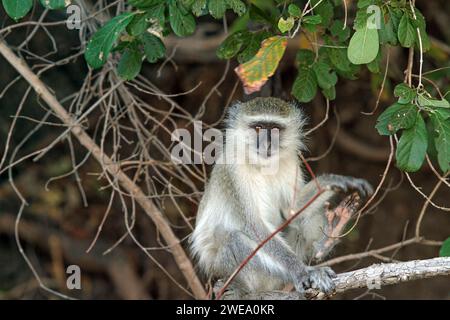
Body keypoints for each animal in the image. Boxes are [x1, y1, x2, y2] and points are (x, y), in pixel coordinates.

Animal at [190, 97, 372, 298]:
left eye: (275, 128)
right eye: (258, 128)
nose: (267, 145)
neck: (262, 165)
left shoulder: (291, 162)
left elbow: (292, 210)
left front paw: (332, 181)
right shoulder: (232, 171)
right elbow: (255, 227)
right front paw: (302, 271)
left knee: (303, 219)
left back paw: (328, 238)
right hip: (226, 268)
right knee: (233, 238)